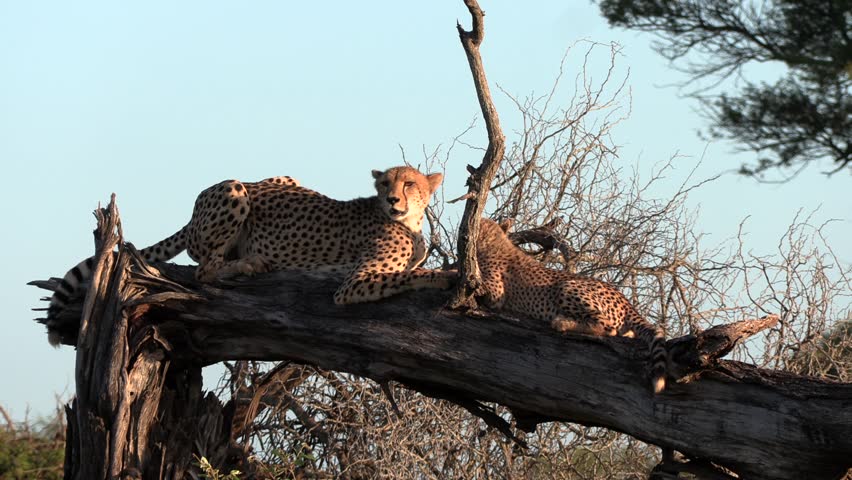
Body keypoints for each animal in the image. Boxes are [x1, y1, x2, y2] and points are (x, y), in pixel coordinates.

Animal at [45, 166, 455, 346]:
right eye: (385, 183)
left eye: (410, 183)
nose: (393, 199)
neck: (408, 222)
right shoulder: (352, 284)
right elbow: (408, 275)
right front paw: (445, 276)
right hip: (234, 189)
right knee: (204, 269)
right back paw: (249, 262)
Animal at [474, 218, 668, 394]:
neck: (493, 241)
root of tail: (626, 300)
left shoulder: (496, 293)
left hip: (567, 286)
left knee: (608, 328)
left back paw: (562, 322)